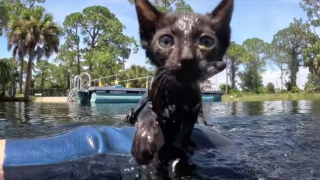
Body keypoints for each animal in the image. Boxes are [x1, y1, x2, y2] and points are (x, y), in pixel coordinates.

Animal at [131, 0, 234, 166]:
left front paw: (179, 147)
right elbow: (148, 114)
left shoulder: (195, 107)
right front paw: (145, 139)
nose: (187, 58)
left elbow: (187, 127)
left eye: (206, 42)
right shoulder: (152, 103)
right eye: (166, 41)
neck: (178, 94)